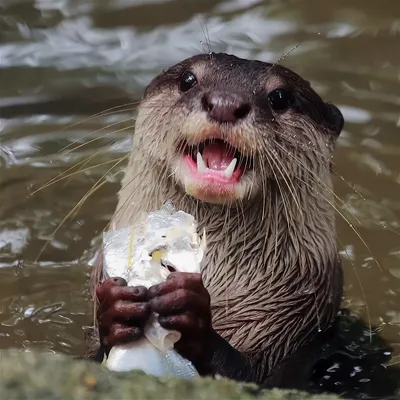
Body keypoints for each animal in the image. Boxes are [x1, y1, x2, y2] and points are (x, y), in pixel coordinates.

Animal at [86, 51, 346, 386]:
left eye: (280, 97)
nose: (224, 103)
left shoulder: (297, 322)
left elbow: (249, 375)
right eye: (188, 79)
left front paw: (190, 313)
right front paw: (115, 308)